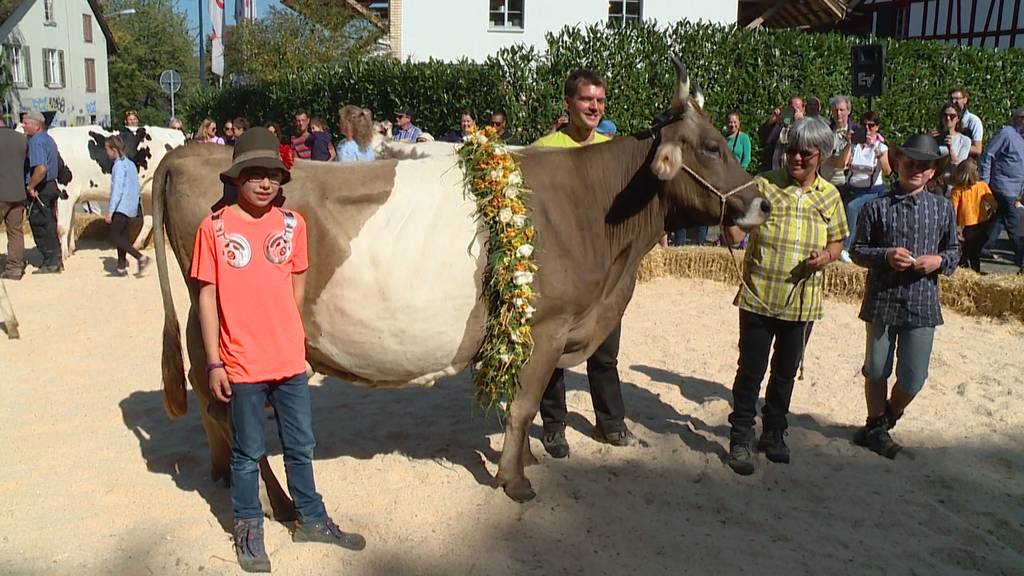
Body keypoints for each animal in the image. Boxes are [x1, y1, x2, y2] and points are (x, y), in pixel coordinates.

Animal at [153, 60, 770, 504]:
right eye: (711, 147)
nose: (762, 202)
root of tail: (188, 154)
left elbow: (522, 405)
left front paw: (526, 460)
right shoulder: (548, 327)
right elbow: (523, 406)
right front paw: (515, 482)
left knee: (210, 406)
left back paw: (221, 478)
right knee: (222, 408)